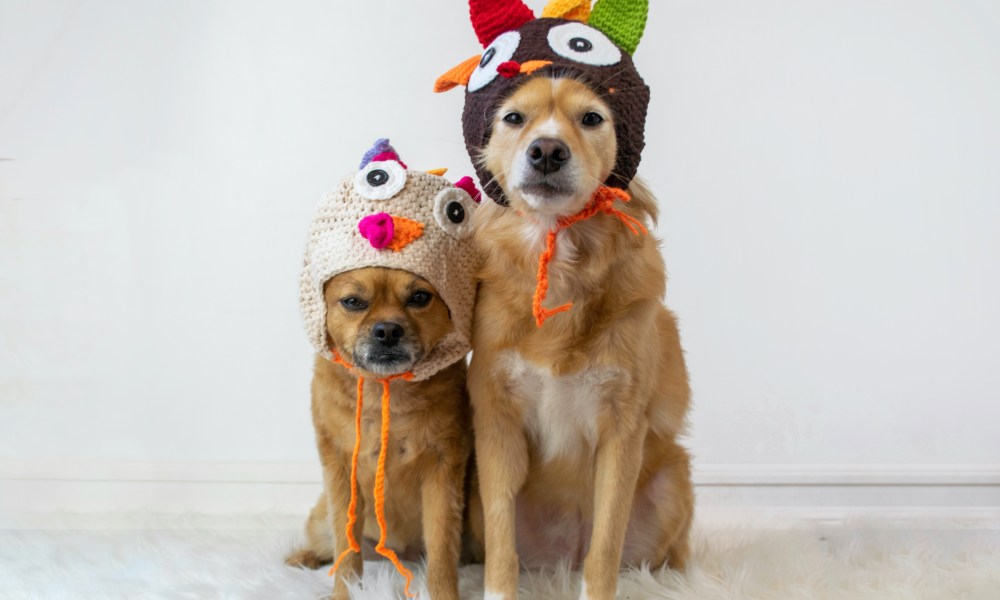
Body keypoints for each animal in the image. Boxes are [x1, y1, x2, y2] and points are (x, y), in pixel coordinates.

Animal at [282, 268, 468, 600]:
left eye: (419, 297)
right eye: (353, 301)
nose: (388, 330)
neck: (385, 389)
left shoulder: (443, 472)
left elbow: (442, 550)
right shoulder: (341, 472)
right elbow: (346, 551)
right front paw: (344, 594)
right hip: (321, 519)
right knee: (328, 546)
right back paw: (304, 557)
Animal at [464, 75, 692, 600]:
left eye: (592, 118)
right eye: (513, 118)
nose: (547, 150)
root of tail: (560, 560)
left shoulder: (622, 431)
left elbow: (605, 546)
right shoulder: (496, 423)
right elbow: (502, 546)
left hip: (674, 480)